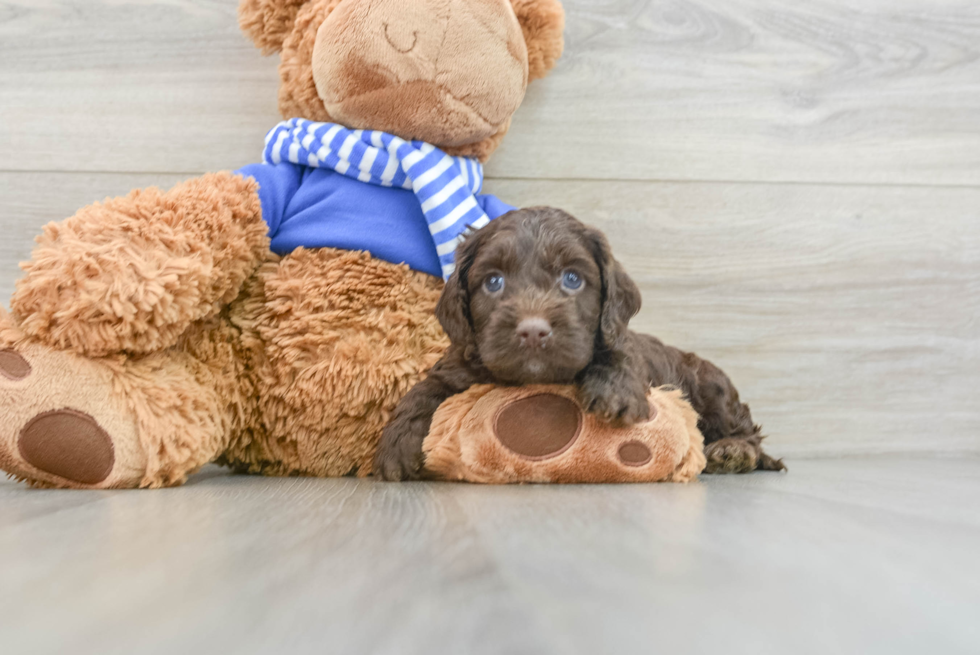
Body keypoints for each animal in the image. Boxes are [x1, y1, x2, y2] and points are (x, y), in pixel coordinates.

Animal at [376, 208, 780, 480]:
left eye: (572, 279)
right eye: (493, 282)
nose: (533, 331)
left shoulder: (621, 342)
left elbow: (619, 351)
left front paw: (614, 391)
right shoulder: (461, 360)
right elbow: (424, 389)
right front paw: (397, 444)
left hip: (711, 386)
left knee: (746, 428)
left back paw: (732, 451)